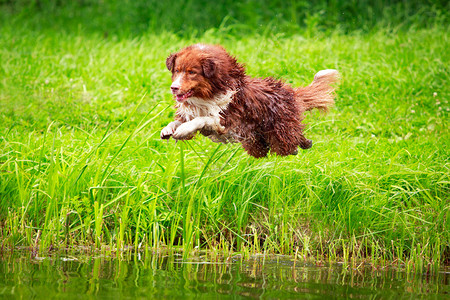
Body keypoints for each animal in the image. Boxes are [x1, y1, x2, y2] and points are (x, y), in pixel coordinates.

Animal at [160, 44, 340, 159]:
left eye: (192, 72)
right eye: (177, 70)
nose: (173, 88)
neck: (206, 95)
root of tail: (290, 93)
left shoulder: (227, 120)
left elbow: (203, 119)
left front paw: (183, 130)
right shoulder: (191, 111)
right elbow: (178, 121)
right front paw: (167, 130)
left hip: (281, 130)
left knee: (291, 141)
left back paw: (304, 144)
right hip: (257, 143)